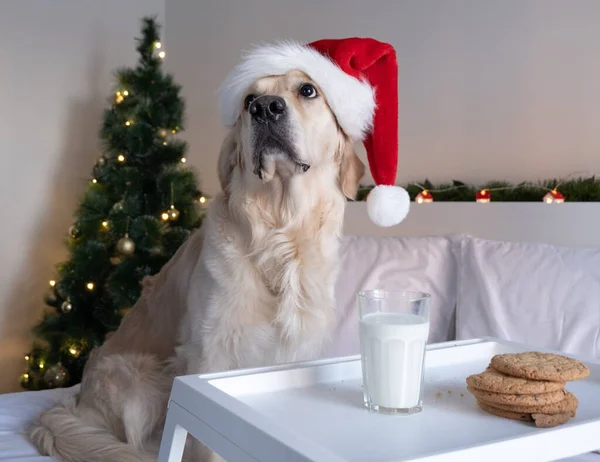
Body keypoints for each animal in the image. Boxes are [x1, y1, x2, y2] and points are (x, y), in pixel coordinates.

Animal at [31, 39, 376, 462]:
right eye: (248, 100)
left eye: (307, 90)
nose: (265, 108)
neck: (281, 234)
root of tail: (74, 405)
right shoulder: (210, 352)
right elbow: (205, 444)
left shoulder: (300, 350)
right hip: (143, 384)